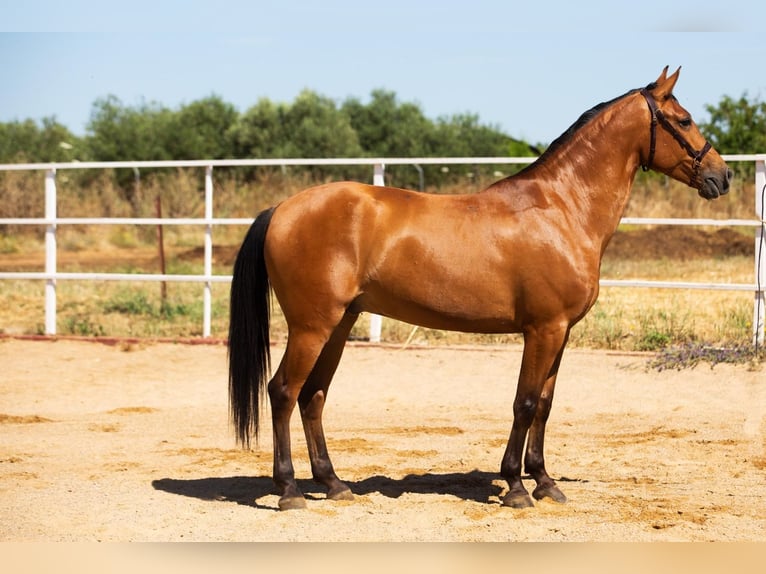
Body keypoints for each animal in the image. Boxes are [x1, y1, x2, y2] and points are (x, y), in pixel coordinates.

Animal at [226, 67, 732, 512]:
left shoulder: (562, 332)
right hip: (312, 326)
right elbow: (524, 403)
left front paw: (545, 482)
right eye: (683, 119)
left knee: (313, 396)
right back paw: (290, 491)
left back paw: (333, 484)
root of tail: (281, 209)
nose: (722, 176)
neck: (562, 209)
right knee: (283, 392)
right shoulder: (543, 329)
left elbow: (544, 405)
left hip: (340, 323)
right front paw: (516, 487)